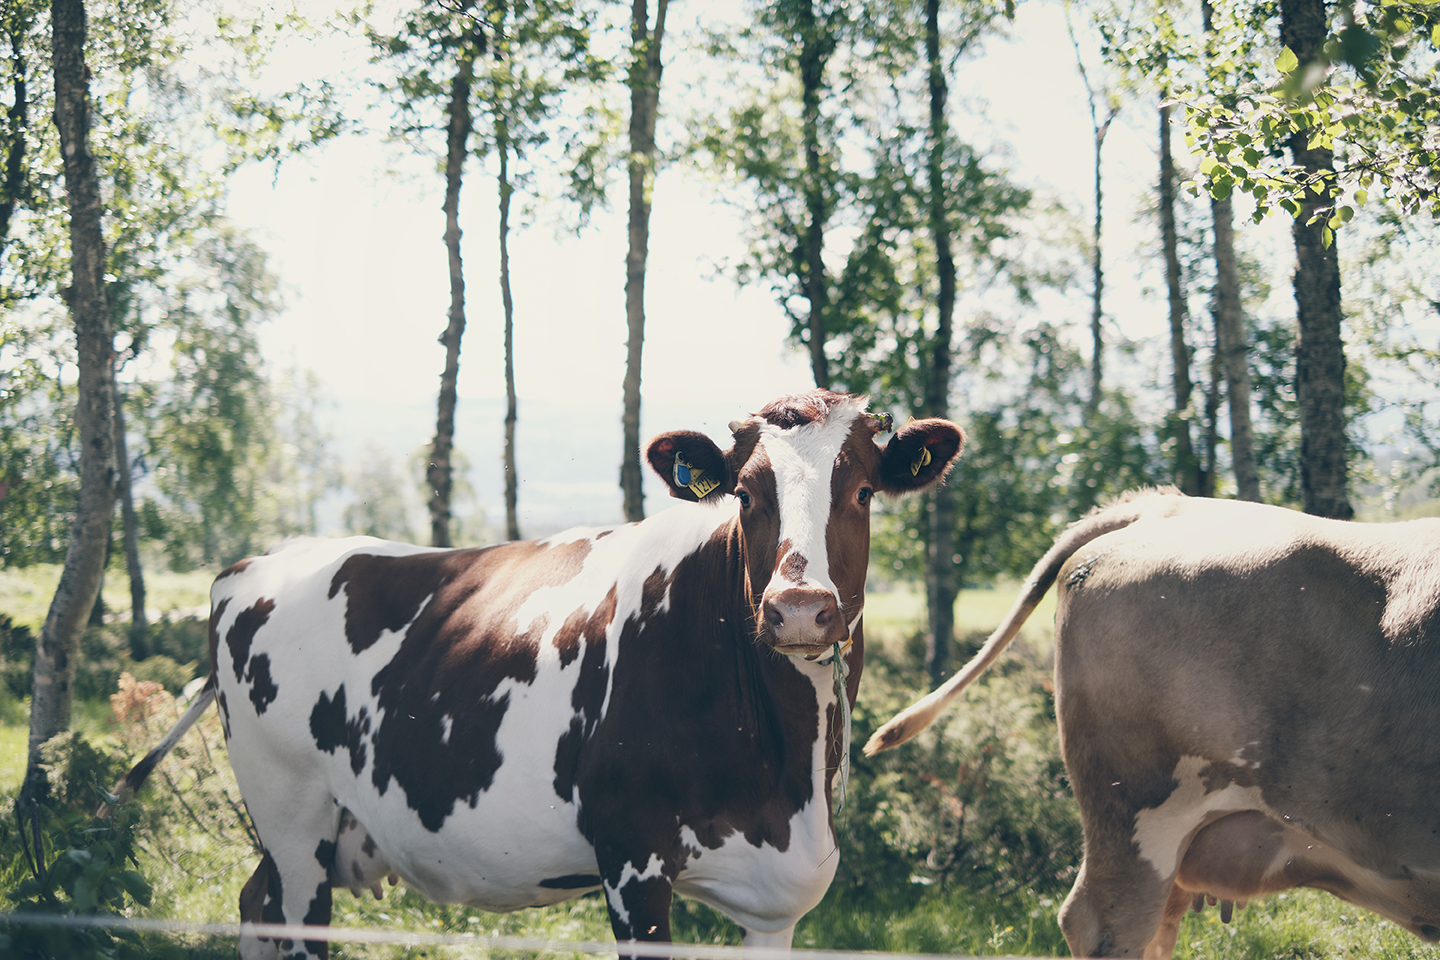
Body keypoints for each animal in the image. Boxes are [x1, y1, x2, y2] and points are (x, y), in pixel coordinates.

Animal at [112, 391, 961, 960]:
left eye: (863, 491)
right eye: (746, 494)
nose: (799, 610)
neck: (788, 769)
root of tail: (256, 563)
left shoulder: (774, 900)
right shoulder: (632, 861)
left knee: (254, 903)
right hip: (292, 813)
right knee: (295, 921)